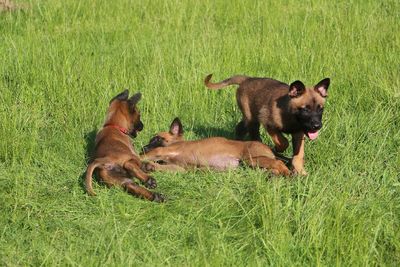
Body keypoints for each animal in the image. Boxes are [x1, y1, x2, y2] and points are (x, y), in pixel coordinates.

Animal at [141, 118, 290, 177]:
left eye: (157, 139)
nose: (144, 147)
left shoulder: (163, 150)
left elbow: (147, 155)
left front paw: (141, 158)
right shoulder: (179, 168)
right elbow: (163, 166)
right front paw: (151, 166)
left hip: (251, 159)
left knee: (279, 163)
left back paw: (288, 174)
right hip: (252, 165)